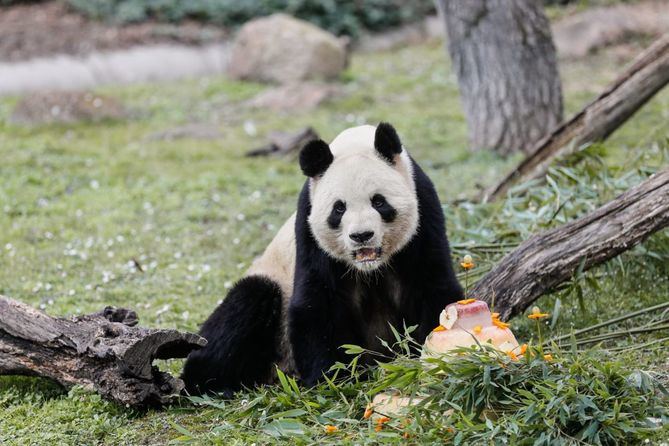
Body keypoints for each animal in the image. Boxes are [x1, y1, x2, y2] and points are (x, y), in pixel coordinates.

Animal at [183, 121, 464, 394]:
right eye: (339, 208)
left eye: (379, 202)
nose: (362, 235)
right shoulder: (309, 229)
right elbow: (317, 301)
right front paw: (333, 379)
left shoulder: (424, 212)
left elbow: (432, 285)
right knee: (246, 304)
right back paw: (212, 384)